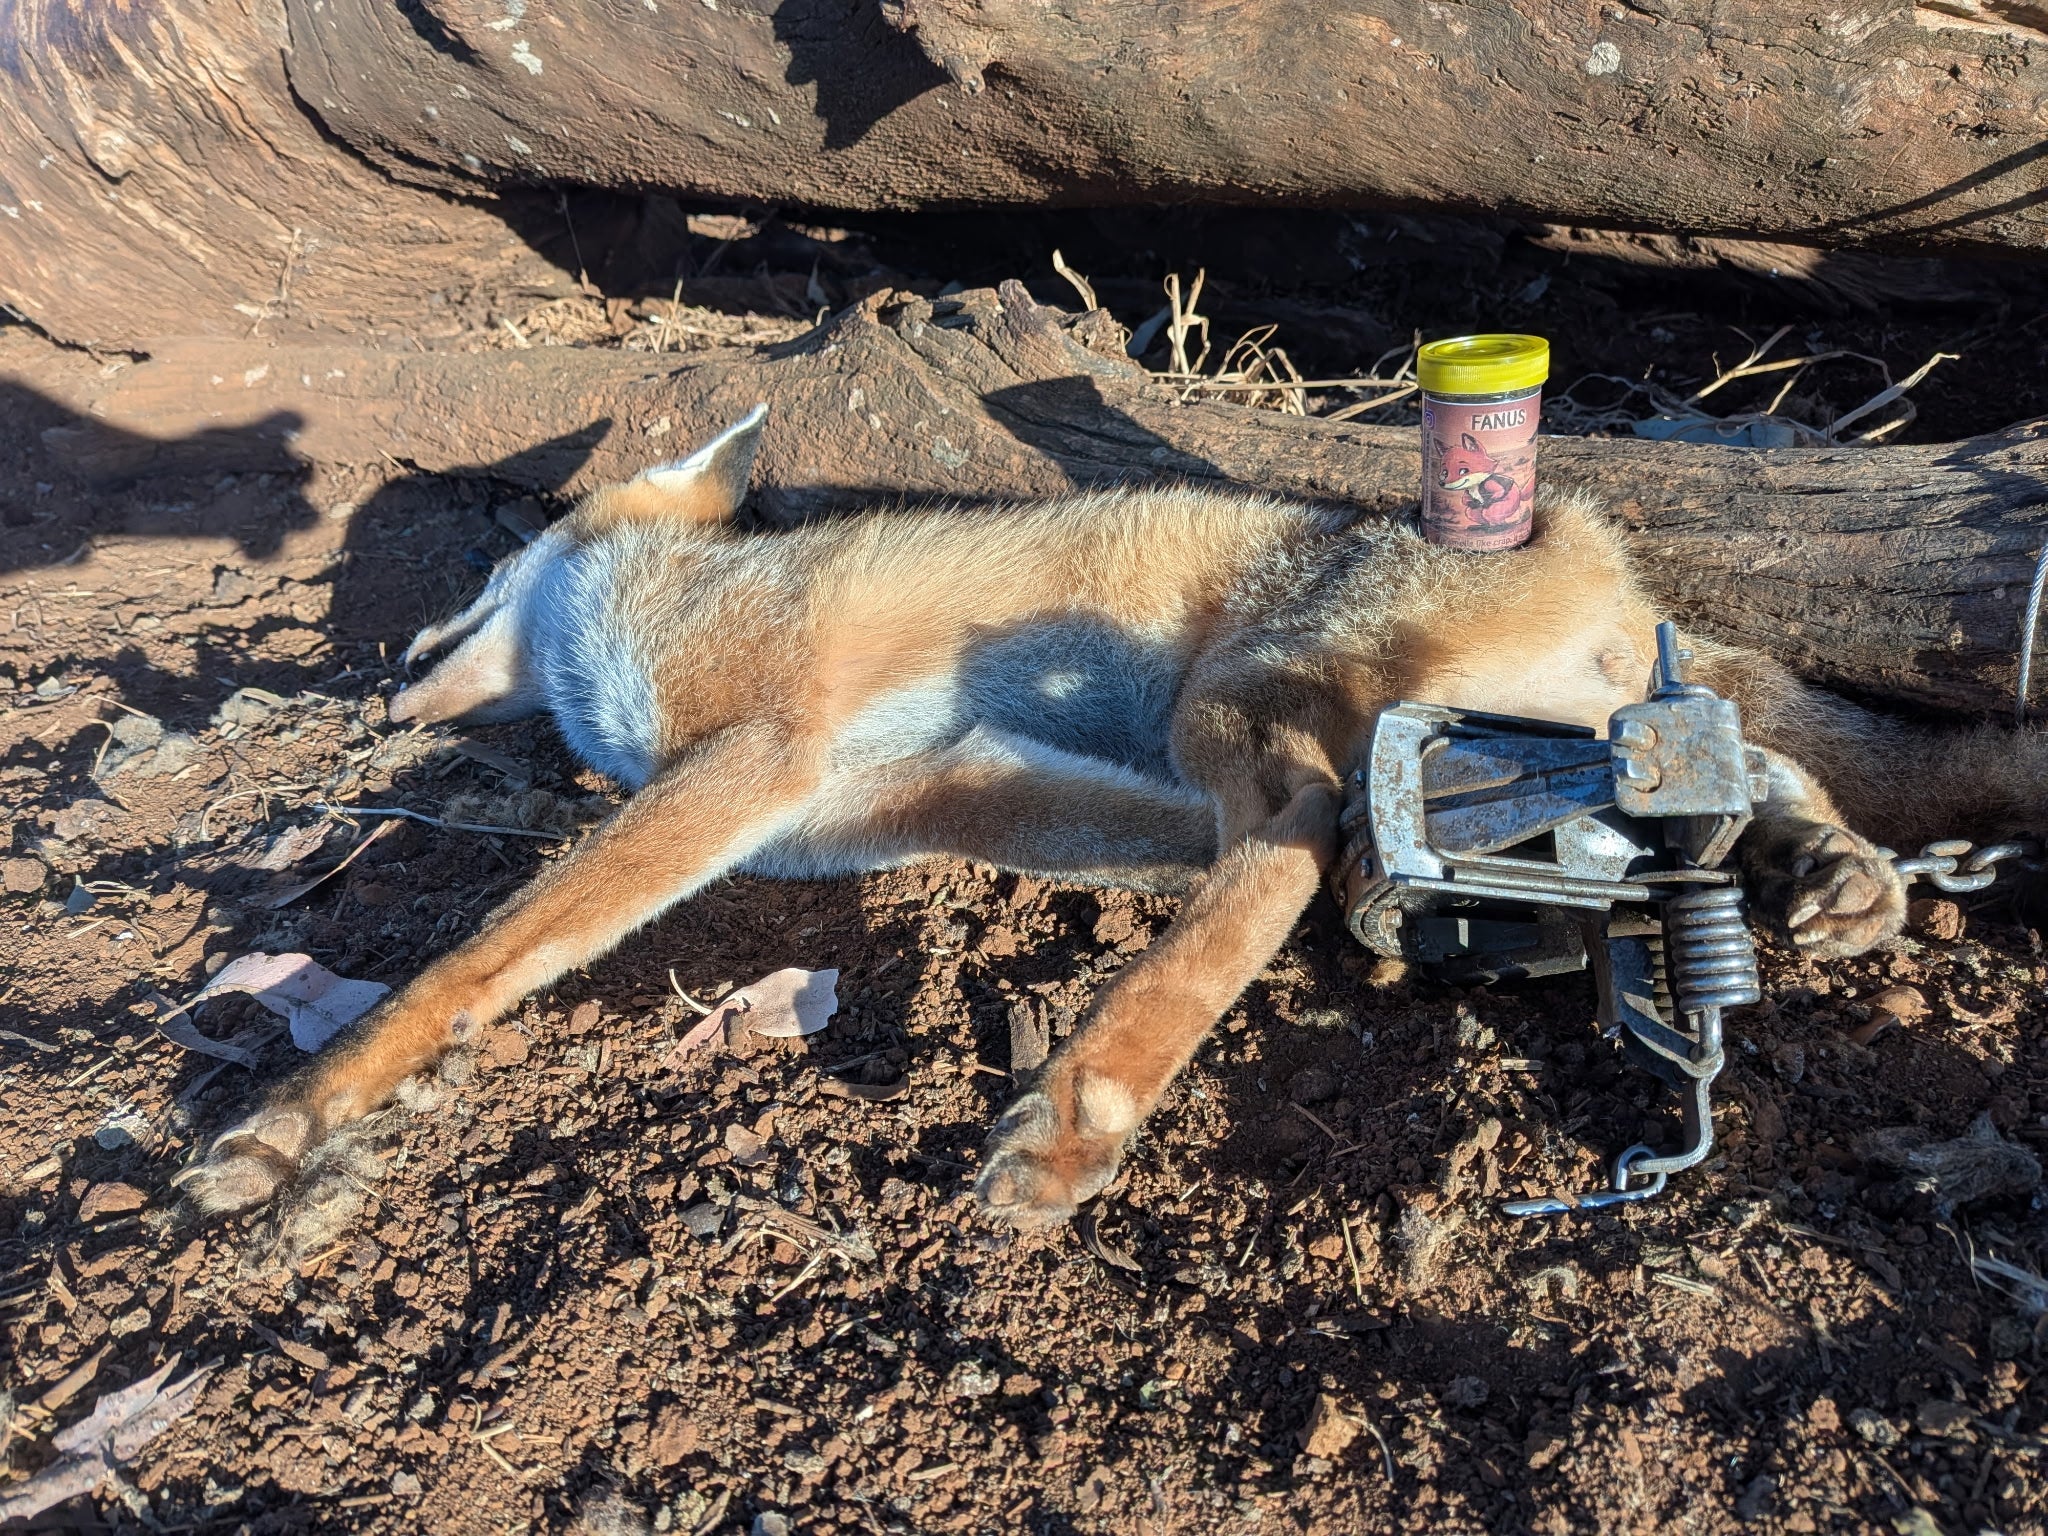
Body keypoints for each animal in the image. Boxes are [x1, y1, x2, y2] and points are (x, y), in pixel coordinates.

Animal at [176, 405, 2045, 1230]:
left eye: (490, 563)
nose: (380, 658)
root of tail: (1593, 546)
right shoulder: (925, 786)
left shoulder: (749, 762)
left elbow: (476, 956)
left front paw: (301, 1113)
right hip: (1506, 722)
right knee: (1728, 768)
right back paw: (1831, 877)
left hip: (1236, 692)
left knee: (1298, 836)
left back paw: (1091, 1097)